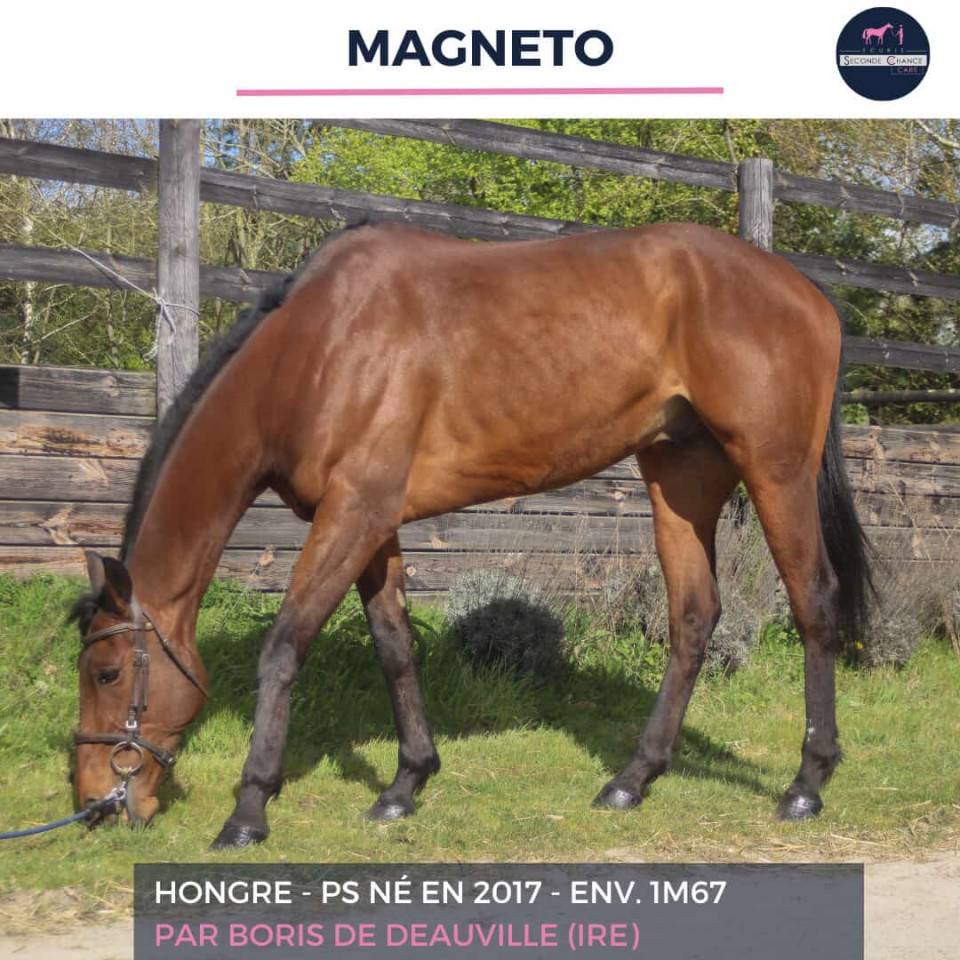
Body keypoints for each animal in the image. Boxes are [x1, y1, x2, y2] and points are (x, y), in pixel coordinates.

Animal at [71, 221, 872, 848]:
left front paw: (249, 810)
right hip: (681, 479)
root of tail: (807, 293)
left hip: (774, 470)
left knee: (814, 603)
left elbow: (285, 647)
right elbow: (394, 646)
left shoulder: (352, 514)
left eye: (106, 673)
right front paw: (405, 785)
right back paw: (632, 779)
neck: (319, 346)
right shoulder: (372, 522)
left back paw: (805, 785)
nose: (96, 803)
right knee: (694, 618)